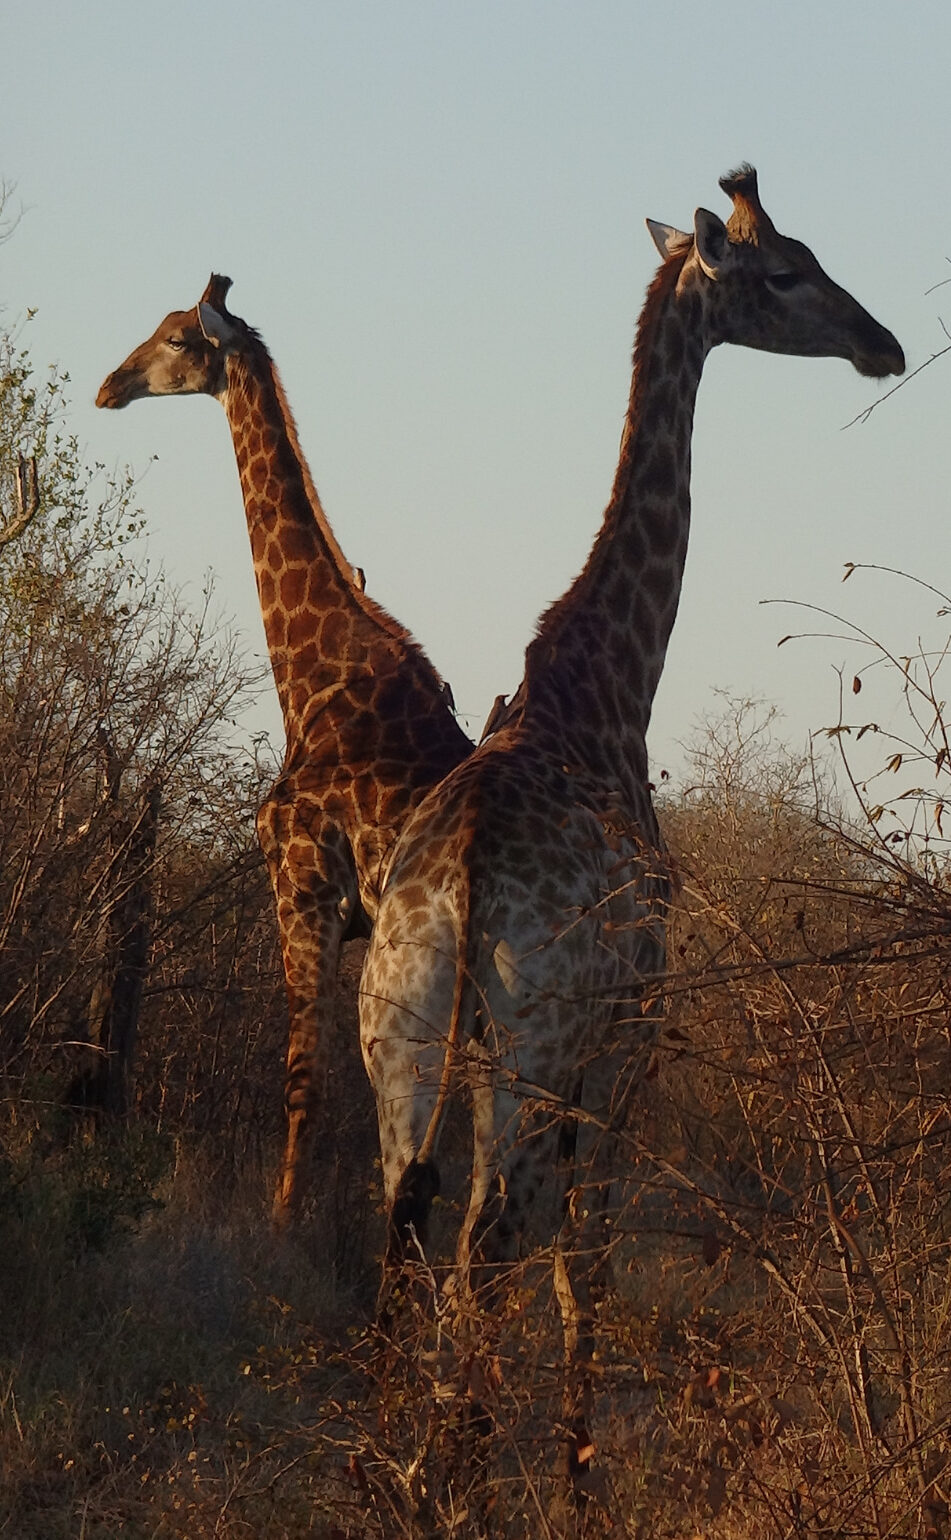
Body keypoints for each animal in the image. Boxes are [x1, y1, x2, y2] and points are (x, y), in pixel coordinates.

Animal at [97, 276, 474, 1225]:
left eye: (177, 338)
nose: (109, 385)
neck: (317, 676)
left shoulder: (301, 890)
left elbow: (304, 1080)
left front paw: (280, 1225)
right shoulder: (351, 921)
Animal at [359, 166, 903, 1479]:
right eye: (787, 272)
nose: (884, 344)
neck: (603, 688)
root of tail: (459, 884)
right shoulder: (629, 1036)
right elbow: (586, 1265)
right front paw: (575, 1480)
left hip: (398, 1038)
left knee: (402, 1238)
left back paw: (382, 1479)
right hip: (537, 1046)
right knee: (486, 1250)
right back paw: (457, 1481)